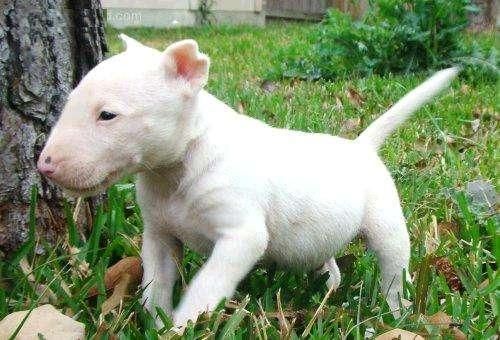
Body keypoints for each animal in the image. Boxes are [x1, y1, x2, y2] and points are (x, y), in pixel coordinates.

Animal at [38, 33, 460, 326]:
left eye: (107, 115)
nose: (45, 167)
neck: (179, 166)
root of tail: (361, 147)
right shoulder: (159, 234)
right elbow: (156, 283)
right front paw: (154, 322)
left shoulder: (241, 235)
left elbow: (208, 284)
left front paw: (181, 325)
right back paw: (329, 286)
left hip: (385, 224)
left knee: (393, 266)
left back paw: (395, 312)